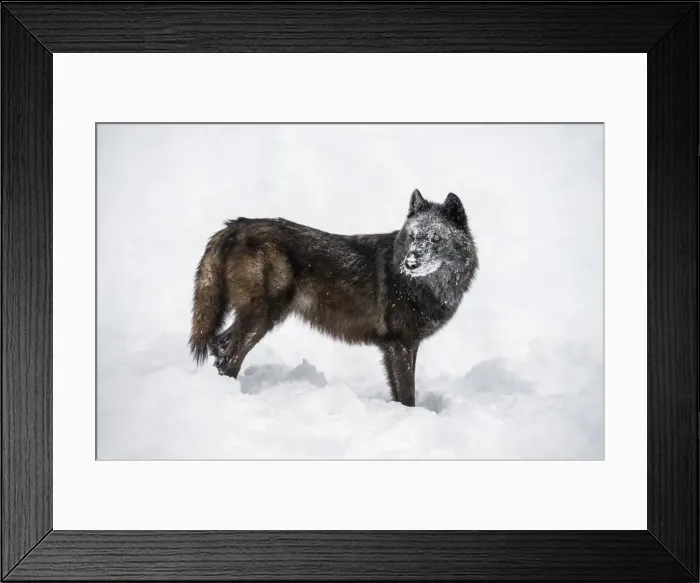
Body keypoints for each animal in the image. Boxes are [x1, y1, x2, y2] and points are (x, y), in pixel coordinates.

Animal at [189, 189, 478, 407]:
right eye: (413, 236)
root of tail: (235, 226)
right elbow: (407, 395)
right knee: (229, 357)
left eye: (436, 238)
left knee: (218, 345)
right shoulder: (400, 345)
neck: (423, 286)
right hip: (261, 319)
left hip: (255, 318)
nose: (410, 263)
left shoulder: (406, 346)